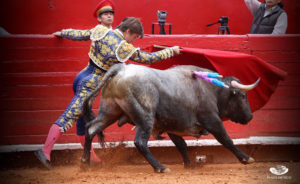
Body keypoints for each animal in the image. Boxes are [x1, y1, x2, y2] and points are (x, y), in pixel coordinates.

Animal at [81, 63, 258, 172]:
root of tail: (121, 69)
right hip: (145, 116)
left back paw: (85, 163)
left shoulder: (173, 125)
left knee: (90, 129)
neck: (212, 89)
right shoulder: (212, 120)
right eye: (243, 96)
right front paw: (246, 158)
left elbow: (182, 145)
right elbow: (226, 140)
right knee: (140, 142)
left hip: (109, 112)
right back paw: (160, 167)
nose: (250, 117)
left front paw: (189, 165)